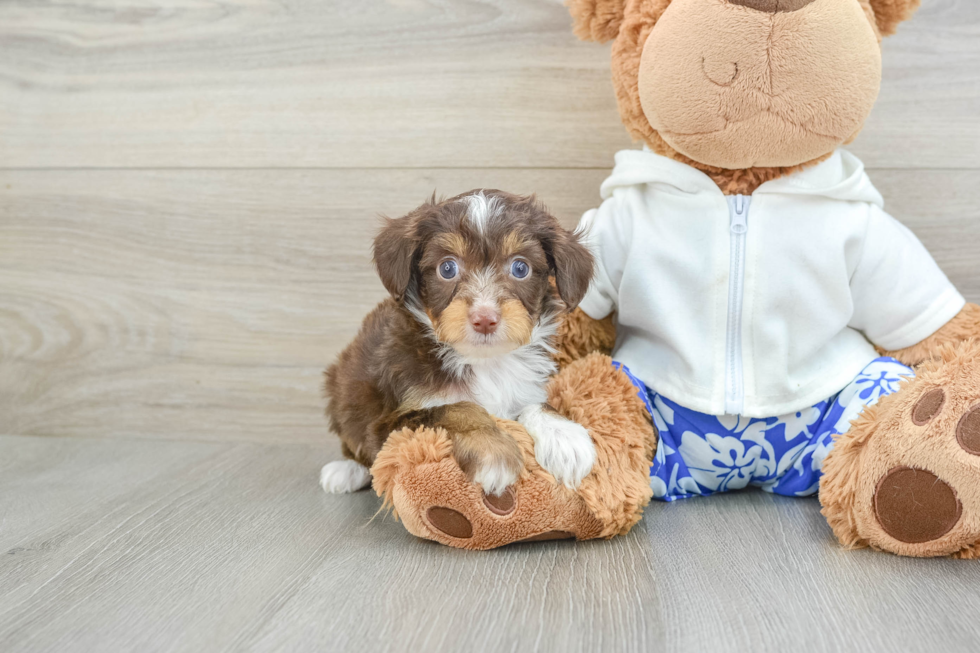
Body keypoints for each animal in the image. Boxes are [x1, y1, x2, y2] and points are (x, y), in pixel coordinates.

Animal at [322, 188, 596, 494]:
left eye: (520, 268)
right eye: (447, 268)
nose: (485, 318)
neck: (485, 362)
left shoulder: (525, 388)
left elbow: (536, 403)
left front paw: (565, 437)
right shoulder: (389, 426)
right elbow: (456, 409)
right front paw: (493, 452)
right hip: (342, 391)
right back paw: (345, 471)